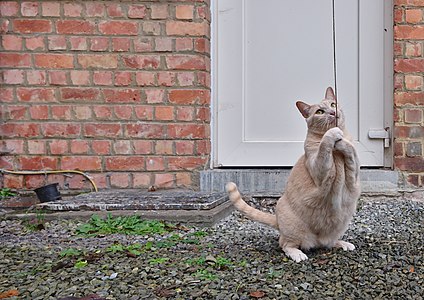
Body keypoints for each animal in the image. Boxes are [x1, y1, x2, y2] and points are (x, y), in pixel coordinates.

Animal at [227, 86, 360, 262]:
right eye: (319, 111)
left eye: (333, 104)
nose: (332, 112)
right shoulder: (320, 169)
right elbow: (325, 144)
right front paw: (333, 134)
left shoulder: (354, 168)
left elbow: (350, 149)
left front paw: (342, 140)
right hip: (294, 229)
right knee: (285, 244)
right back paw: (298, 254)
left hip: (339, 226)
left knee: (328, 243)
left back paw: (342, 244)